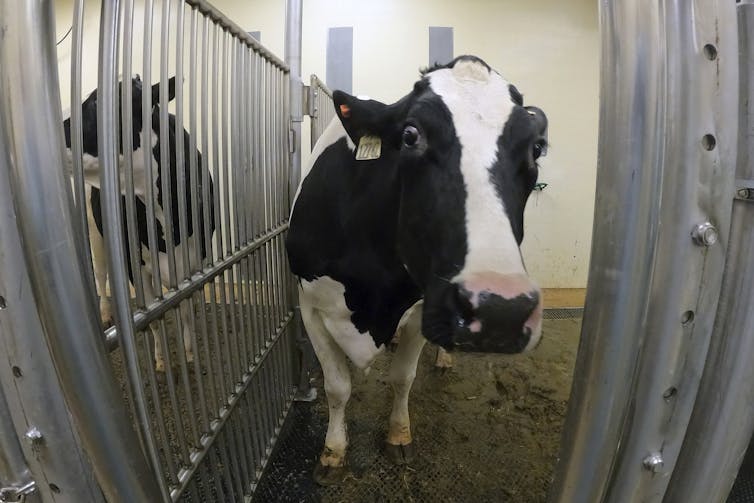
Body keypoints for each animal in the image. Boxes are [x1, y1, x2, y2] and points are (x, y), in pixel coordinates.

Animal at [63, 76, 215, 372]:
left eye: (97, 103)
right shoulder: (135, 265)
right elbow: (151, 317)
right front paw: (161, 360)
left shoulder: (198, 259)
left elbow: (186, 307)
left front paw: (190, 354)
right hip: (95, 233)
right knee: (101, 274)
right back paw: (106, 313)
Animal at [286, 55, 548, 485]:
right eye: (410, 135)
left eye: (537, 148)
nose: (501, 310)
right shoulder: (310, 304)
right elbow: (337, 386)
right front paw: (333, 452)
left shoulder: (424, 307)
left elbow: (402, 378)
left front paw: (398, 435)